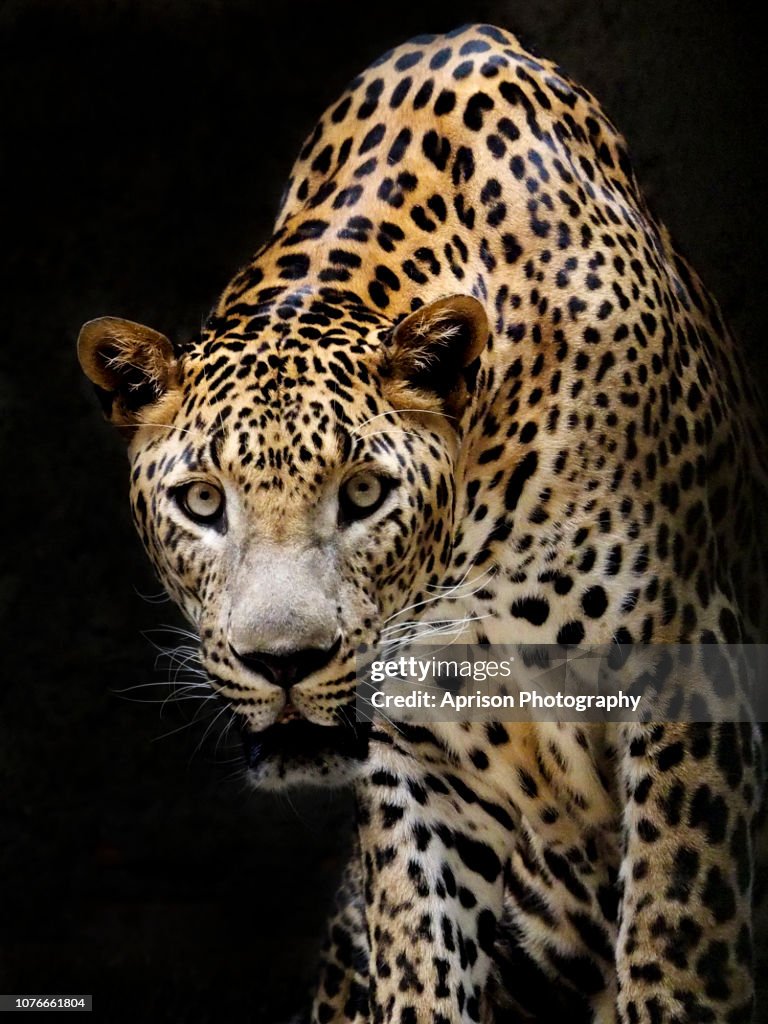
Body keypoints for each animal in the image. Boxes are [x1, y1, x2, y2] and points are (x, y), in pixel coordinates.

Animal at [77, 22, 768, 1024]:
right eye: (203, 502)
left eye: (364, 494)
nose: (284, 664)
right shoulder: (415, 759)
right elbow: (420, 965)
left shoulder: (694, 670)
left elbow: (677, 947)